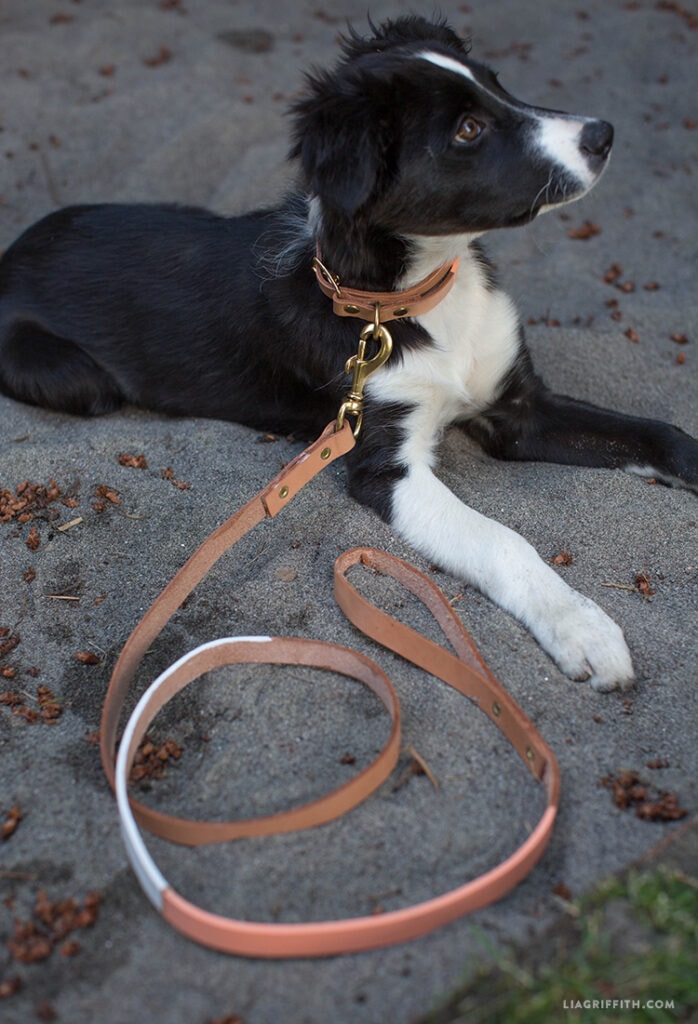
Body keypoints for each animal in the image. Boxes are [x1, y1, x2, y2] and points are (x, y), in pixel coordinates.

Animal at [0, 16, 691, 692]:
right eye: (467, 129)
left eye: (500, 84)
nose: (603, 134)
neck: (413, 299)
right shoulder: (385, 466)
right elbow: (502, 541)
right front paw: (582, 627)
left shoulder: (520, 407)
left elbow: (658, 434)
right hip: (79, 379)